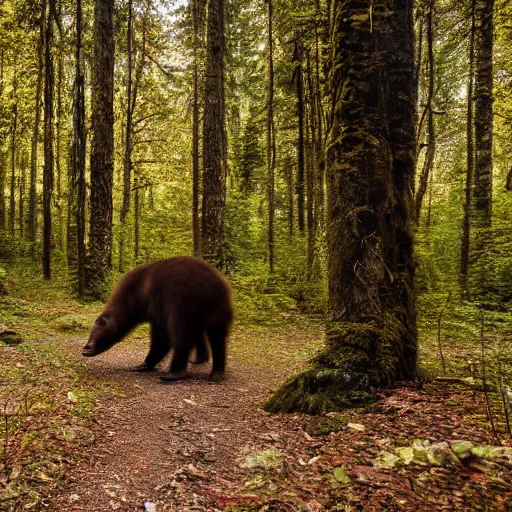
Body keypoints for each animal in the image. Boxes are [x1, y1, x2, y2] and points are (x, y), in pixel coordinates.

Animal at [82, 256, 234, 380]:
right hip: (217, 308)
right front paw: (200, 357)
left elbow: (162, 335)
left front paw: (144, 364)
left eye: (93, 335)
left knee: (180, 334)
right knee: (217, 337)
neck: (136, 296)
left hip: (183, 301)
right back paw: (216, 373)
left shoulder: (158, 302)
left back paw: (174, 373)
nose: (86, 348)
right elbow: (197, 333)